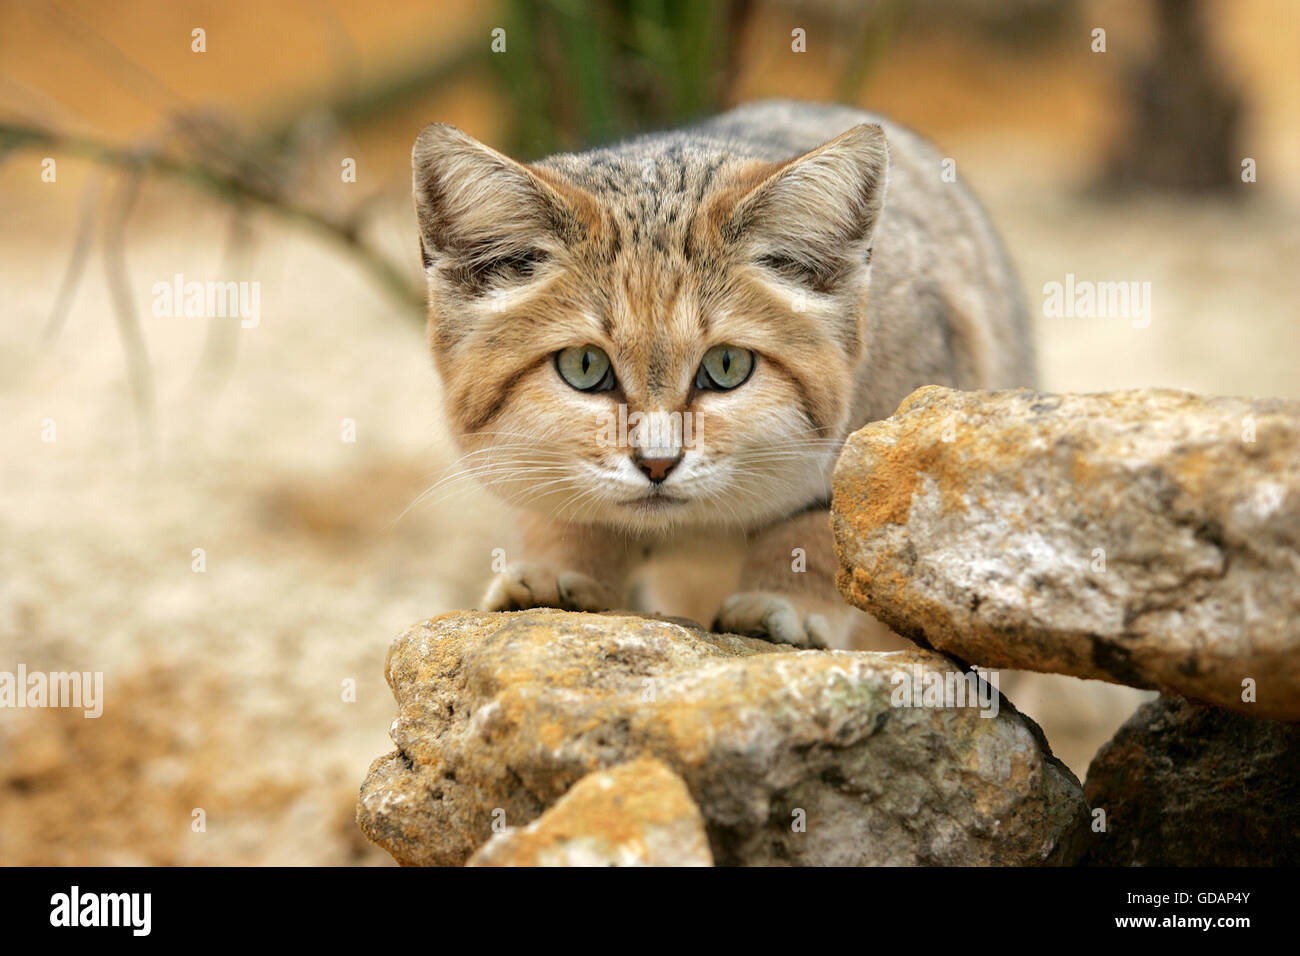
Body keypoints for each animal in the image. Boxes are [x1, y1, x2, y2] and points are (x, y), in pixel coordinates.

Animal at [410, 98, 1029, 650]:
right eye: (584, 367)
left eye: (726, 366)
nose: (657, 464)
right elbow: (568, 512)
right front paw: (558, 573)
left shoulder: (892, 423)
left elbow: (822, 523)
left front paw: (784, 602)